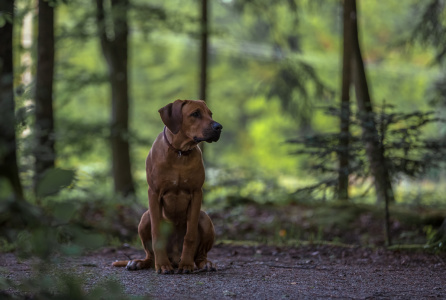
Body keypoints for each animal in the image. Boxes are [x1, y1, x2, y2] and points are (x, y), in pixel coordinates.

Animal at [112, 99, 222, 274]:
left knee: (201, 255)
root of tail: (175, 258)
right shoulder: (154, 193)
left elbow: (190, 235)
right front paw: (162, 265)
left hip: (205, 218)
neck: (179, 152)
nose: (219, 127)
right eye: (195, 114)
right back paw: (139, 262)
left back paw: (205, 263)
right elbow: (157, 234)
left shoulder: (196, 193)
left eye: (210, 114)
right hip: (145, 218)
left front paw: (187, 264)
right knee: (150, 256)